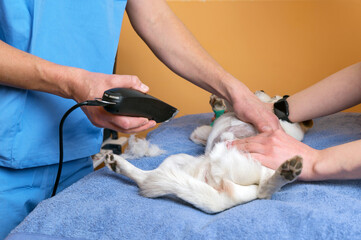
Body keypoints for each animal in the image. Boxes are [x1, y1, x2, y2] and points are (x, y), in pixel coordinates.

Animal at [103, 92, 310, 214]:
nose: (259, 90)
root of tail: (222, 199)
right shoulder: (200, 133)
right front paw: (219, 106)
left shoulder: (287, 130)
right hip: (175, 162)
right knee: (146, 178)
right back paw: (116, 163)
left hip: (260, 172)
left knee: (264, 190)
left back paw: (287, 171)